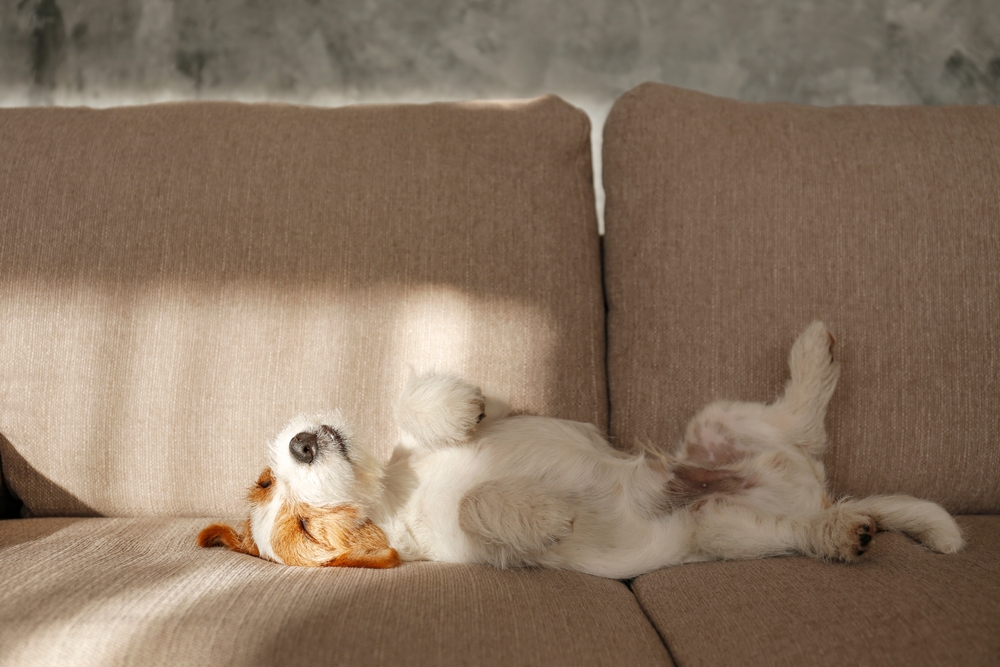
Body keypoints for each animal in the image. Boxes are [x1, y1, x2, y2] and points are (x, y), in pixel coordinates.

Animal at [199, 324, 964, 580]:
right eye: (307, 530)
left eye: (266, 481)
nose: (301, 441)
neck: (396, 494)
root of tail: (811, 488)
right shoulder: (479, 545)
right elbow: (482, 504)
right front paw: (548, 514)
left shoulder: (507, 411)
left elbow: (416, 405)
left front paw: (455, 406)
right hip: (726, 528)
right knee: (803, 521)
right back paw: (845, 532)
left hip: (722, 424)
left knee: (803, 420)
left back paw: (814, 351)